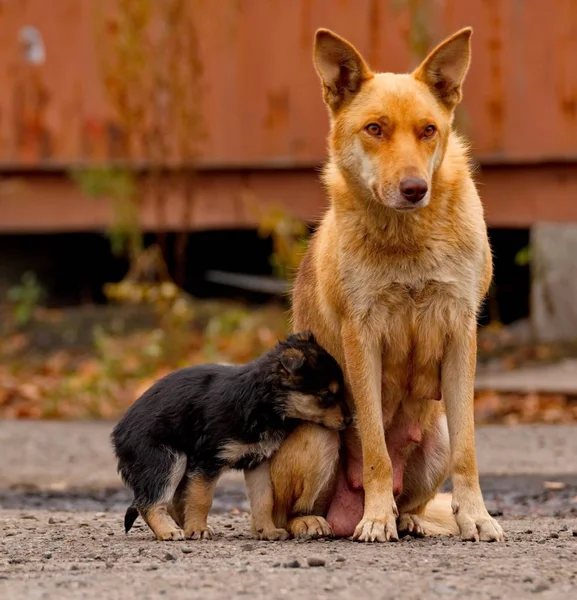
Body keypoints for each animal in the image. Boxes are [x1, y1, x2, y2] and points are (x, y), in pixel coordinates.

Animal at [110, 330, 348, 540]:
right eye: (327, 396)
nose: (349, 421)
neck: (262, 403)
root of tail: (118, 437)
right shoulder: (208, 461)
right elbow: (202, 498)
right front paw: (198, 529)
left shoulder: (257, 461)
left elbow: (264, 500)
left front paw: (268, 531)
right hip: (167, 459)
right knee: (150, 503)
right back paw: (168, 531)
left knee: (171, 501)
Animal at [266, 27, 504, 544]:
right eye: (375, 129)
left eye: (428, 130)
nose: (415, 189)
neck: (408, 238)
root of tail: (341, 509)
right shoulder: (363, 340)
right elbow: (375, 447)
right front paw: (377, 519)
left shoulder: (461, 335)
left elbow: (469, 451)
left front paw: (476, 517)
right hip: (314, 438)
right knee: (286, 513)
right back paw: (322, 520)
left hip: (435, 437)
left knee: (417, 496)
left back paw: (411, 518)